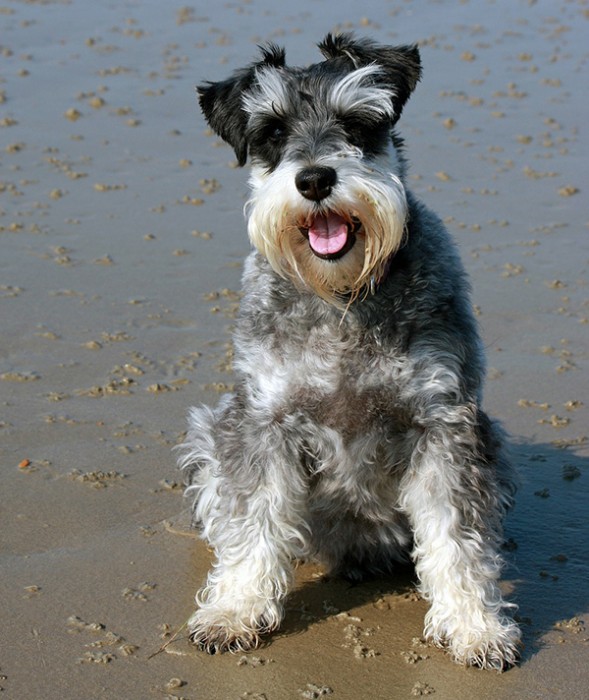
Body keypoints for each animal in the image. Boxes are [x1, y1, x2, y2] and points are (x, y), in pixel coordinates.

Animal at [179, 34, 520, 672]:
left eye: (358, 122)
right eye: (272, 132)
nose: (315, 179)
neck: (341, 300)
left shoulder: (444, 425)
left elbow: (457, 538)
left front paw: (475, 627)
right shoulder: (261, 424)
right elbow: (251, 521)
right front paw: (234, 610)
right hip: (210, 432)